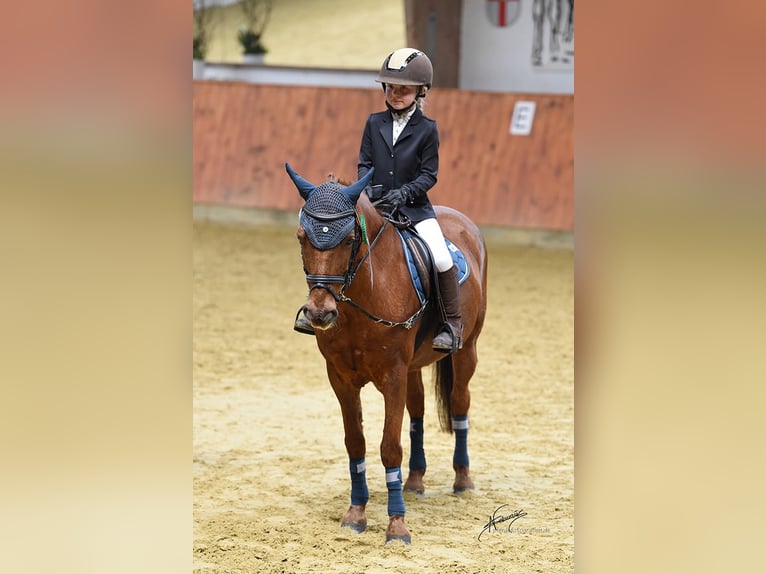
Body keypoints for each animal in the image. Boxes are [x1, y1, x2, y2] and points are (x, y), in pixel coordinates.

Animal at [284, 164, 488, 548]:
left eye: (349, 239)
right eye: (302, 236)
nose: (319, 313)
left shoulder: (392, 376)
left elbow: (389, 447)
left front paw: (397, 527)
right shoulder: (341, 379)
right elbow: (356, 444)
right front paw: (355, 514)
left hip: (466, 350)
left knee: (460, 403)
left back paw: (462, 480)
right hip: (414, 365)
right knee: (418, 411)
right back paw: (415, 481)